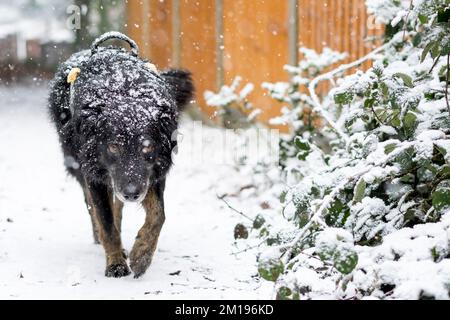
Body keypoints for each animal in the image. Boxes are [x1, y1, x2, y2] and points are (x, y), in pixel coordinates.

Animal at [48, 31, 194, 278]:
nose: (132, 193)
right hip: (80, 166)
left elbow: (158, 215)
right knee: (95, 208)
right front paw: (115, 262)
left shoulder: (153, 173)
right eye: (114, 147)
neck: (124, 91)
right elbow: (106, 222)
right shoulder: (95, 173)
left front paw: (142, 254)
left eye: (147, 147)